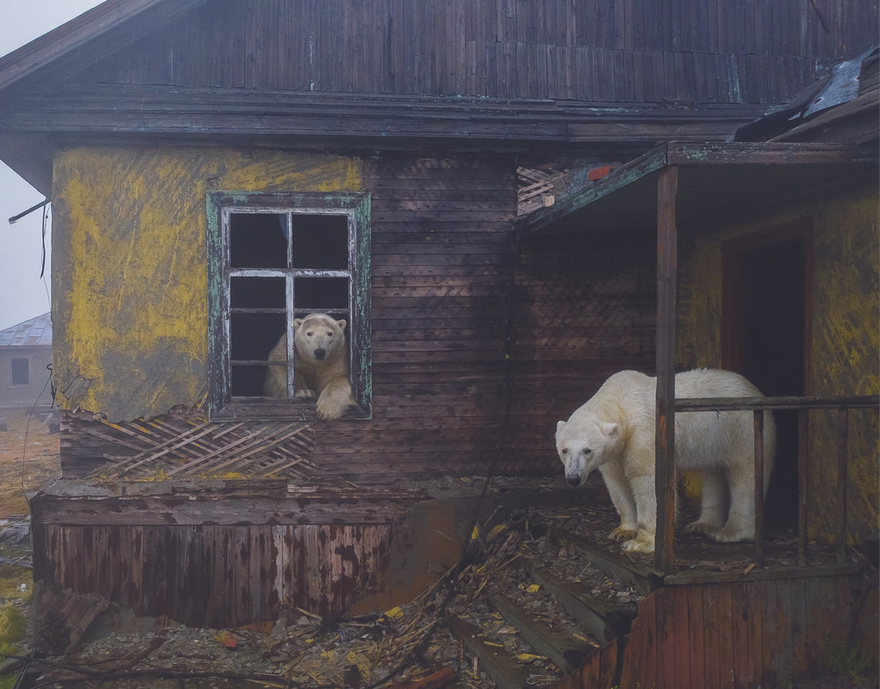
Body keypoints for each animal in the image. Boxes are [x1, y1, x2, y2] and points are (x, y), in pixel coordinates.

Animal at [556, 370, 776, 552]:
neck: (621, 401)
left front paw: (640, 543)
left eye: (587, 450)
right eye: (564, 450)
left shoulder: (644, 435)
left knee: (745, 476)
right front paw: (623, 530)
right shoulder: (616, 451)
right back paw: (702, 524)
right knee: (713, 473)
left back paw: (729, 532)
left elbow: (647, 480)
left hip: (741, 430)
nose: (573, 478)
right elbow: (617, 482)